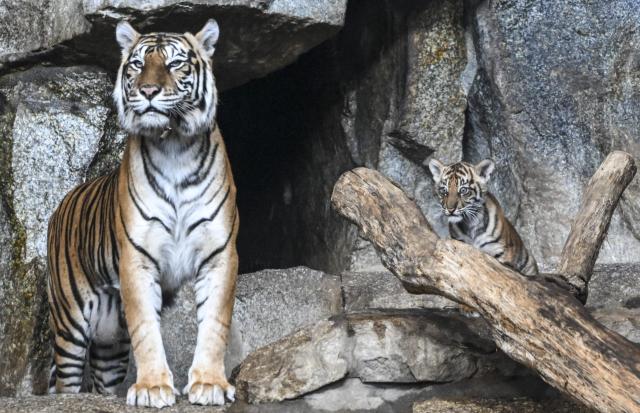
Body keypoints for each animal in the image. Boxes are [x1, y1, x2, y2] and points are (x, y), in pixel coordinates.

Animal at [46, 19, 238, 408]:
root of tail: (60, 206)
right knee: (65, 383)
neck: (175, 147)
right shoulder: (137, 259)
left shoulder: (219, 254)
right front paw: (152, 388)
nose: (147, 90)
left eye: (175, 63)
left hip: (110, 341)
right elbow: (147, 330)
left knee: (103, 382)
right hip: (70, 322)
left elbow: (215, 322)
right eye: (137, 64)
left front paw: (209, 383)